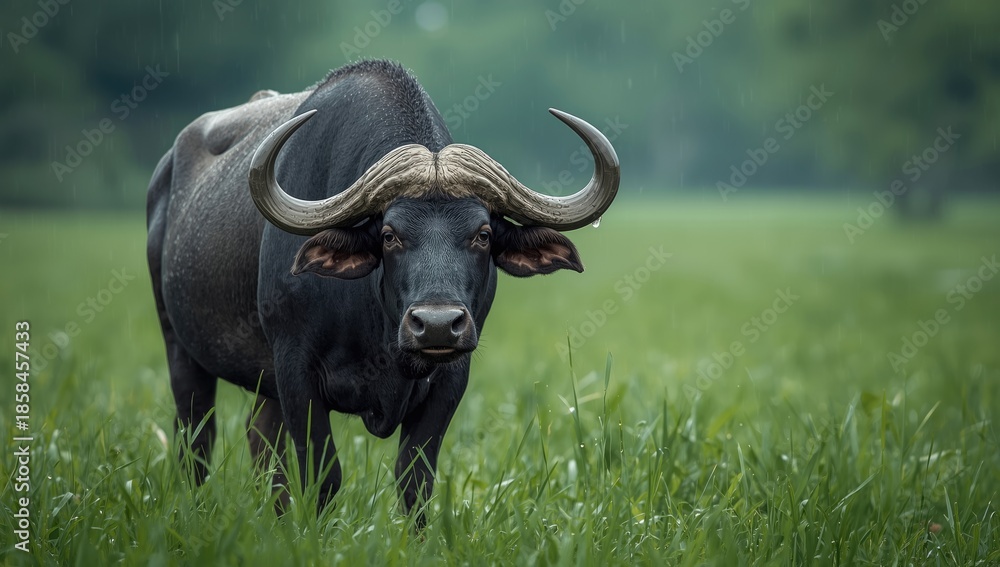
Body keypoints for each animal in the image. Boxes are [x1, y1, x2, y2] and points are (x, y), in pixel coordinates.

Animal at [146, 59, 619, 519]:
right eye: (390, 235)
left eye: (482, 234)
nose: (436, 325)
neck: (377, 329)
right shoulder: (295, 368)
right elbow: (324, 476)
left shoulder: (450, 379)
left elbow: (415, 480)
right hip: (180, 347)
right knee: (196, 438)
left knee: (259, 437)